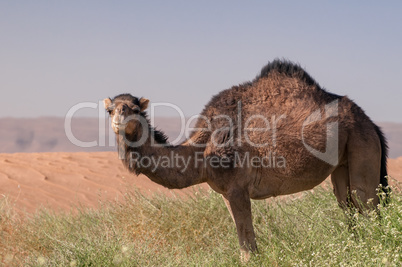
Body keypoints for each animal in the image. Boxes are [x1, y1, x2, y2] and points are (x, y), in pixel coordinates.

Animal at [103, 59, 390, 262]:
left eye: (134, 108)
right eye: (110, 109)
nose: (119, 119)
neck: (202, 153)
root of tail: (371, 123)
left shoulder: (237, 188)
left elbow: (247, 245)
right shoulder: (225, 193)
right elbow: (244, 241)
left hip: (362, 146)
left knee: (367, 203)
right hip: (342, 163)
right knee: (348, 205)